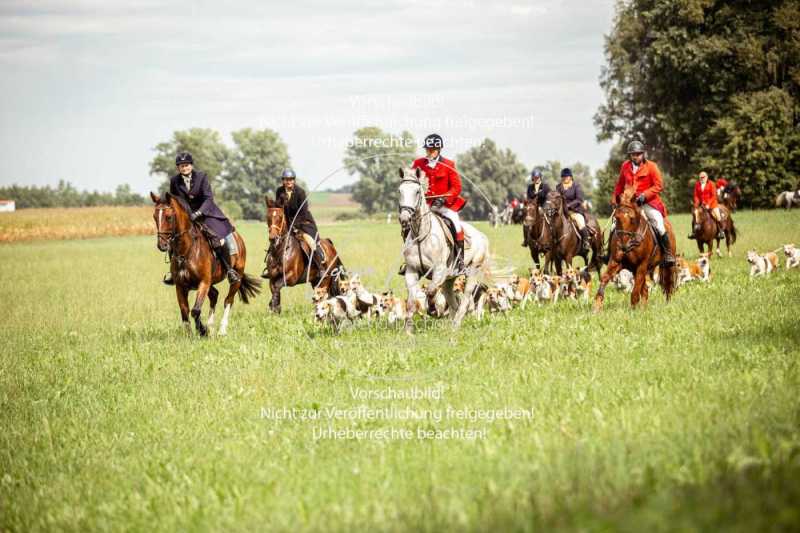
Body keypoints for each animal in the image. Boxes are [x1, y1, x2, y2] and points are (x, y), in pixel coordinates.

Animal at [152, 192, 260, 336]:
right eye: (154, 217)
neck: (186, 250)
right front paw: (191, 334)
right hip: (211, 282)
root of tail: (237, 237)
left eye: (169, 217)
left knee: (228, 300)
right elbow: (185, 311)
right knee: (214, 295)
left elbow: (195, 310)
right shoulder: (180, 286)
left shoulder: (203, 282)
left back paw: (221, 330)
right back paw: (210, 326)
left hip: (236, 276)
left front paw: (202, 330)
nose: (162, 245)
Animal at [396, 166, 488, 328]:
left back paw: (455, 325)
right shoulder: (411, 271)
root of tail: (481, 235)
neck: (421, 236)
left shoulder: (438, 271)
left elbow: (431, 291)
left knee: (465, 302)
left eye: (417, 191)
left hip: (472, 272)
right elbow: (411, 302)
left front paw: (432, 309)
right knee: (453, 302)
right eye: (400, 191)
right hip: (449, 279)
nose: (404, 219)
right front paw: (408, 329)